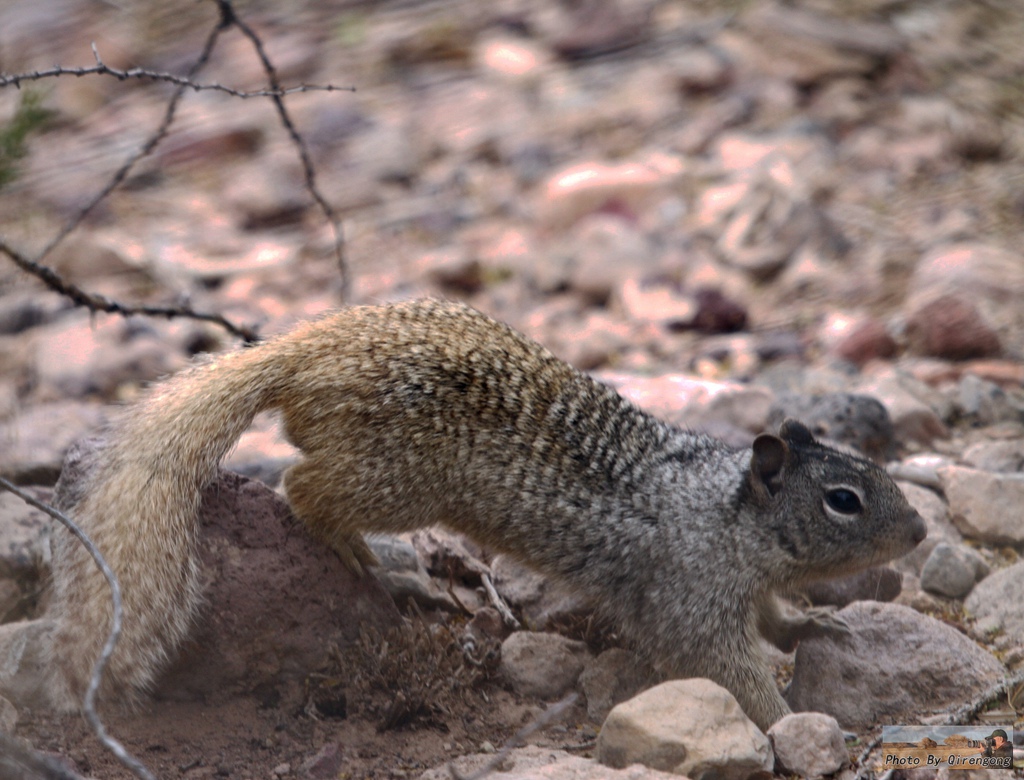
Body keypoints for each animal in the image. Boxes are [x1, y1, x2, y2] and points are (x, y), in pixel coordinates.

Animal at [48, 296, 929, 728]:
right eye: (844, 501)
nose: (921, 531)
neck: (727, 515)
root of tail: (302, 350)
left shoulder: (749, 586)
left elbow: (777, 617)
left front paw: (818, 624)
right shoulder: (693, 599)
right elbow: (727, 665)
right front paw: (788, 722)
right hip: (396, 481)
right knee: (302, 486)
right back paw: (358, 553)